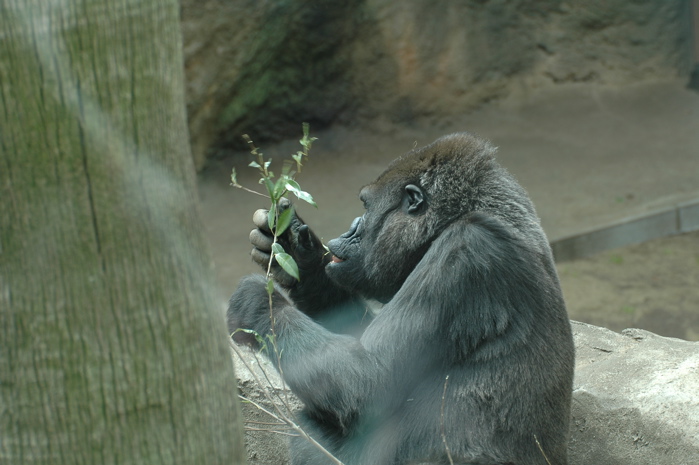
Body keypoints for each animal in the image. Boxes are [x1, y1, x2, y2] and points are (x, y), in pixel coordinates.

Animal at [227, 132, 576, 462]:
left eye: (366, 207)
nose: (351, 226)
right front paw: (299, 252)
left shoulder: (467, 253)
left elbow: (367, 384)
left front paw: (256, 302)